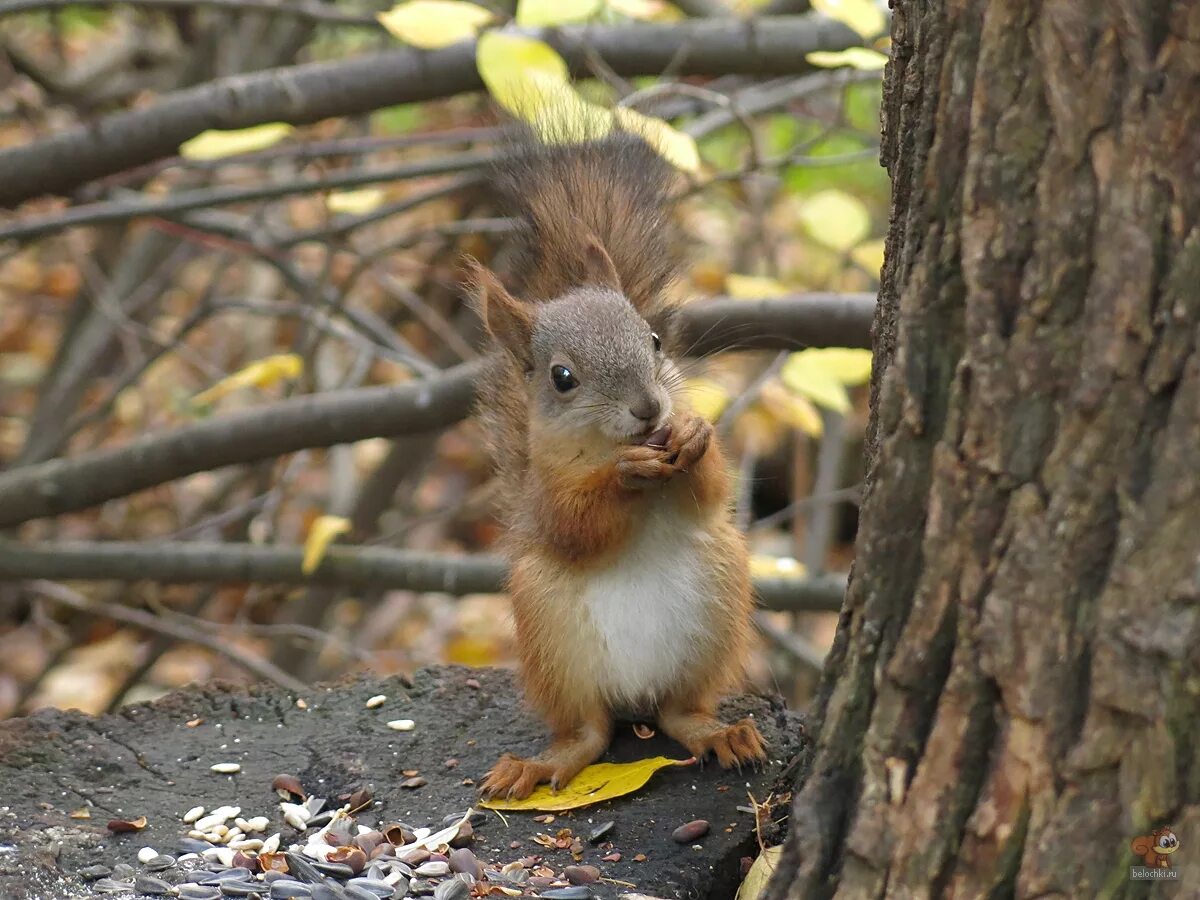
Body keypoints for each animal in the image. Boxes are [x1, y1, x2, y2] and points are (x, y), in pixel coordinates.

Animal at [463, 130, 763, 801]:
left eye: (653, 340)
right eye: (562, 377)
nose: (650, 409)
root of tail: (634, 697)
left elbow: (711, 490)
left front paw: (693, 436)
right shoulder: (545, 496)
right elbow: (578, 526)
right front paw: (624, 476)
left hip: (717, 604)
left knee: (681, 712)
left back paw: (723, 735)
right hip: (551, 637)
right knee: (588, 733)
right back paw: (538, 765)